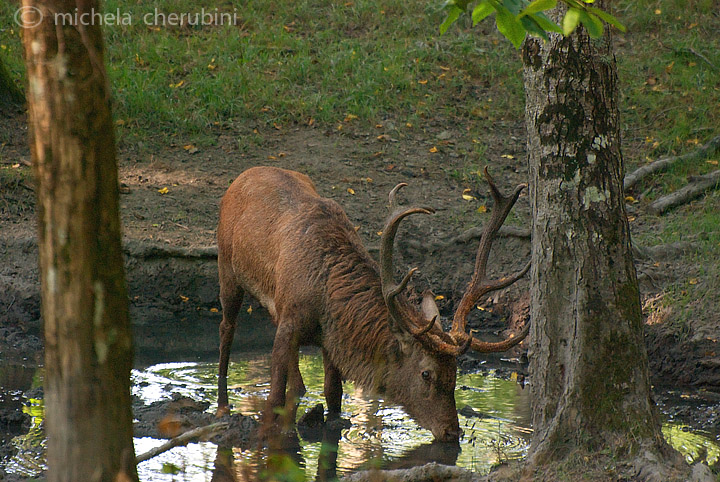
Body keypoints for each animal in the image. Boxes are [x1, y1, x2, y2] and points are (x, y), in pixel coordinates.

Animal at [214, 165, 528, 440]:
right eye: (426, 373)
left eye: (455, 373)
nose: (452, 432)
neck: (326, 299)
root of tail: (244, 174)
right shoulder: (291, 322)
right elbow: (274, 398)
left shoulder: (327, 338)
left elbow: (333, 394)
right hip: (227, 266)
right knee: (227, 327)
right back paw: (222, 405)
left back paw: (299, 389)